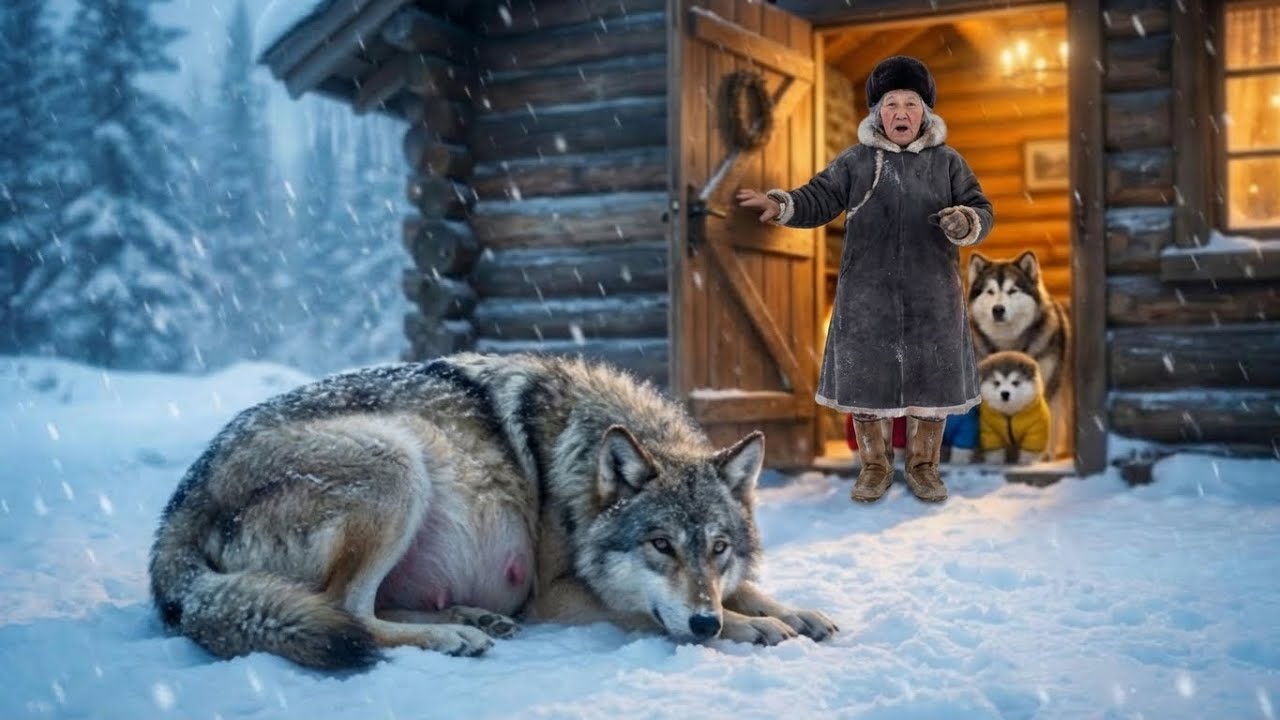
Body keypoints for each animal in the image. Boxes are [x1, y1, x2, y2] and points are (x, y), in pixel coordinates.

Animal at [149, 352, 838, 670]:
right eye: (660, 545)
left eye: (718, 548)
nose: (704, 623)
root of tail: (179, 508)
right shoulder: (555, 595)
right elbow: (641, 612)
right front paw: (749, 628)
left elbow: (750, 589)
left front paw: (794, 612)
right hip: (394, 458)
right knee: (348, 611)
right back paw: (452, 635)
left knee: (355, 605)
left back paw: (473, 617)